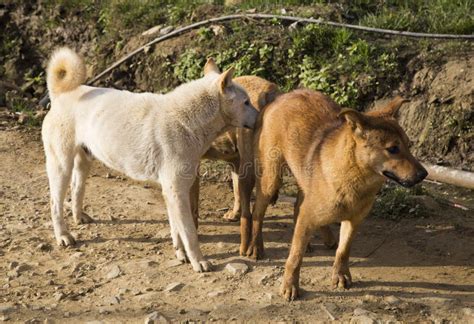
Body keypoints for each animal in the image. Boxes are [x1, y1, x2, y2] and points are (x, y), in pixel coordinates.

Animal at [42, 47, 258, 270]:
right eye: (246, 102)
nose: (260, 116)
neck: (186, 120)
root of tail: (60, 95)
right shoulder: (177, 191)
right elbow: (189, 233)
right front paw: (198, 261)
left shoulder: (173, 192)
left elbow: (176, 229)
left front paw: (180, 253)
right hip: (61, 166)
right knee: (55, 203)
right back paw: (63, 235)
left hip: (83, 162)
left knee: (77, 189)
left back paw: (79, 217)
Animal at [246, 89, 428, 302]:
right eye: (392, 149)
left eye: (409, 145)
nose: (424, 174)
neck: (355, 178)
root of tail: (282, 96)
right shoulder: (308, 217)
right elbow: (295, 257)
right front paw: (290, 285)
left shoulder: (354, 221)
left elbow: (343, 250)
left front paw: (340, 275)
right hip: (270, 179)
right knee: (258, 213)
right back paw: (255, 246)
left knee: (297, 207)